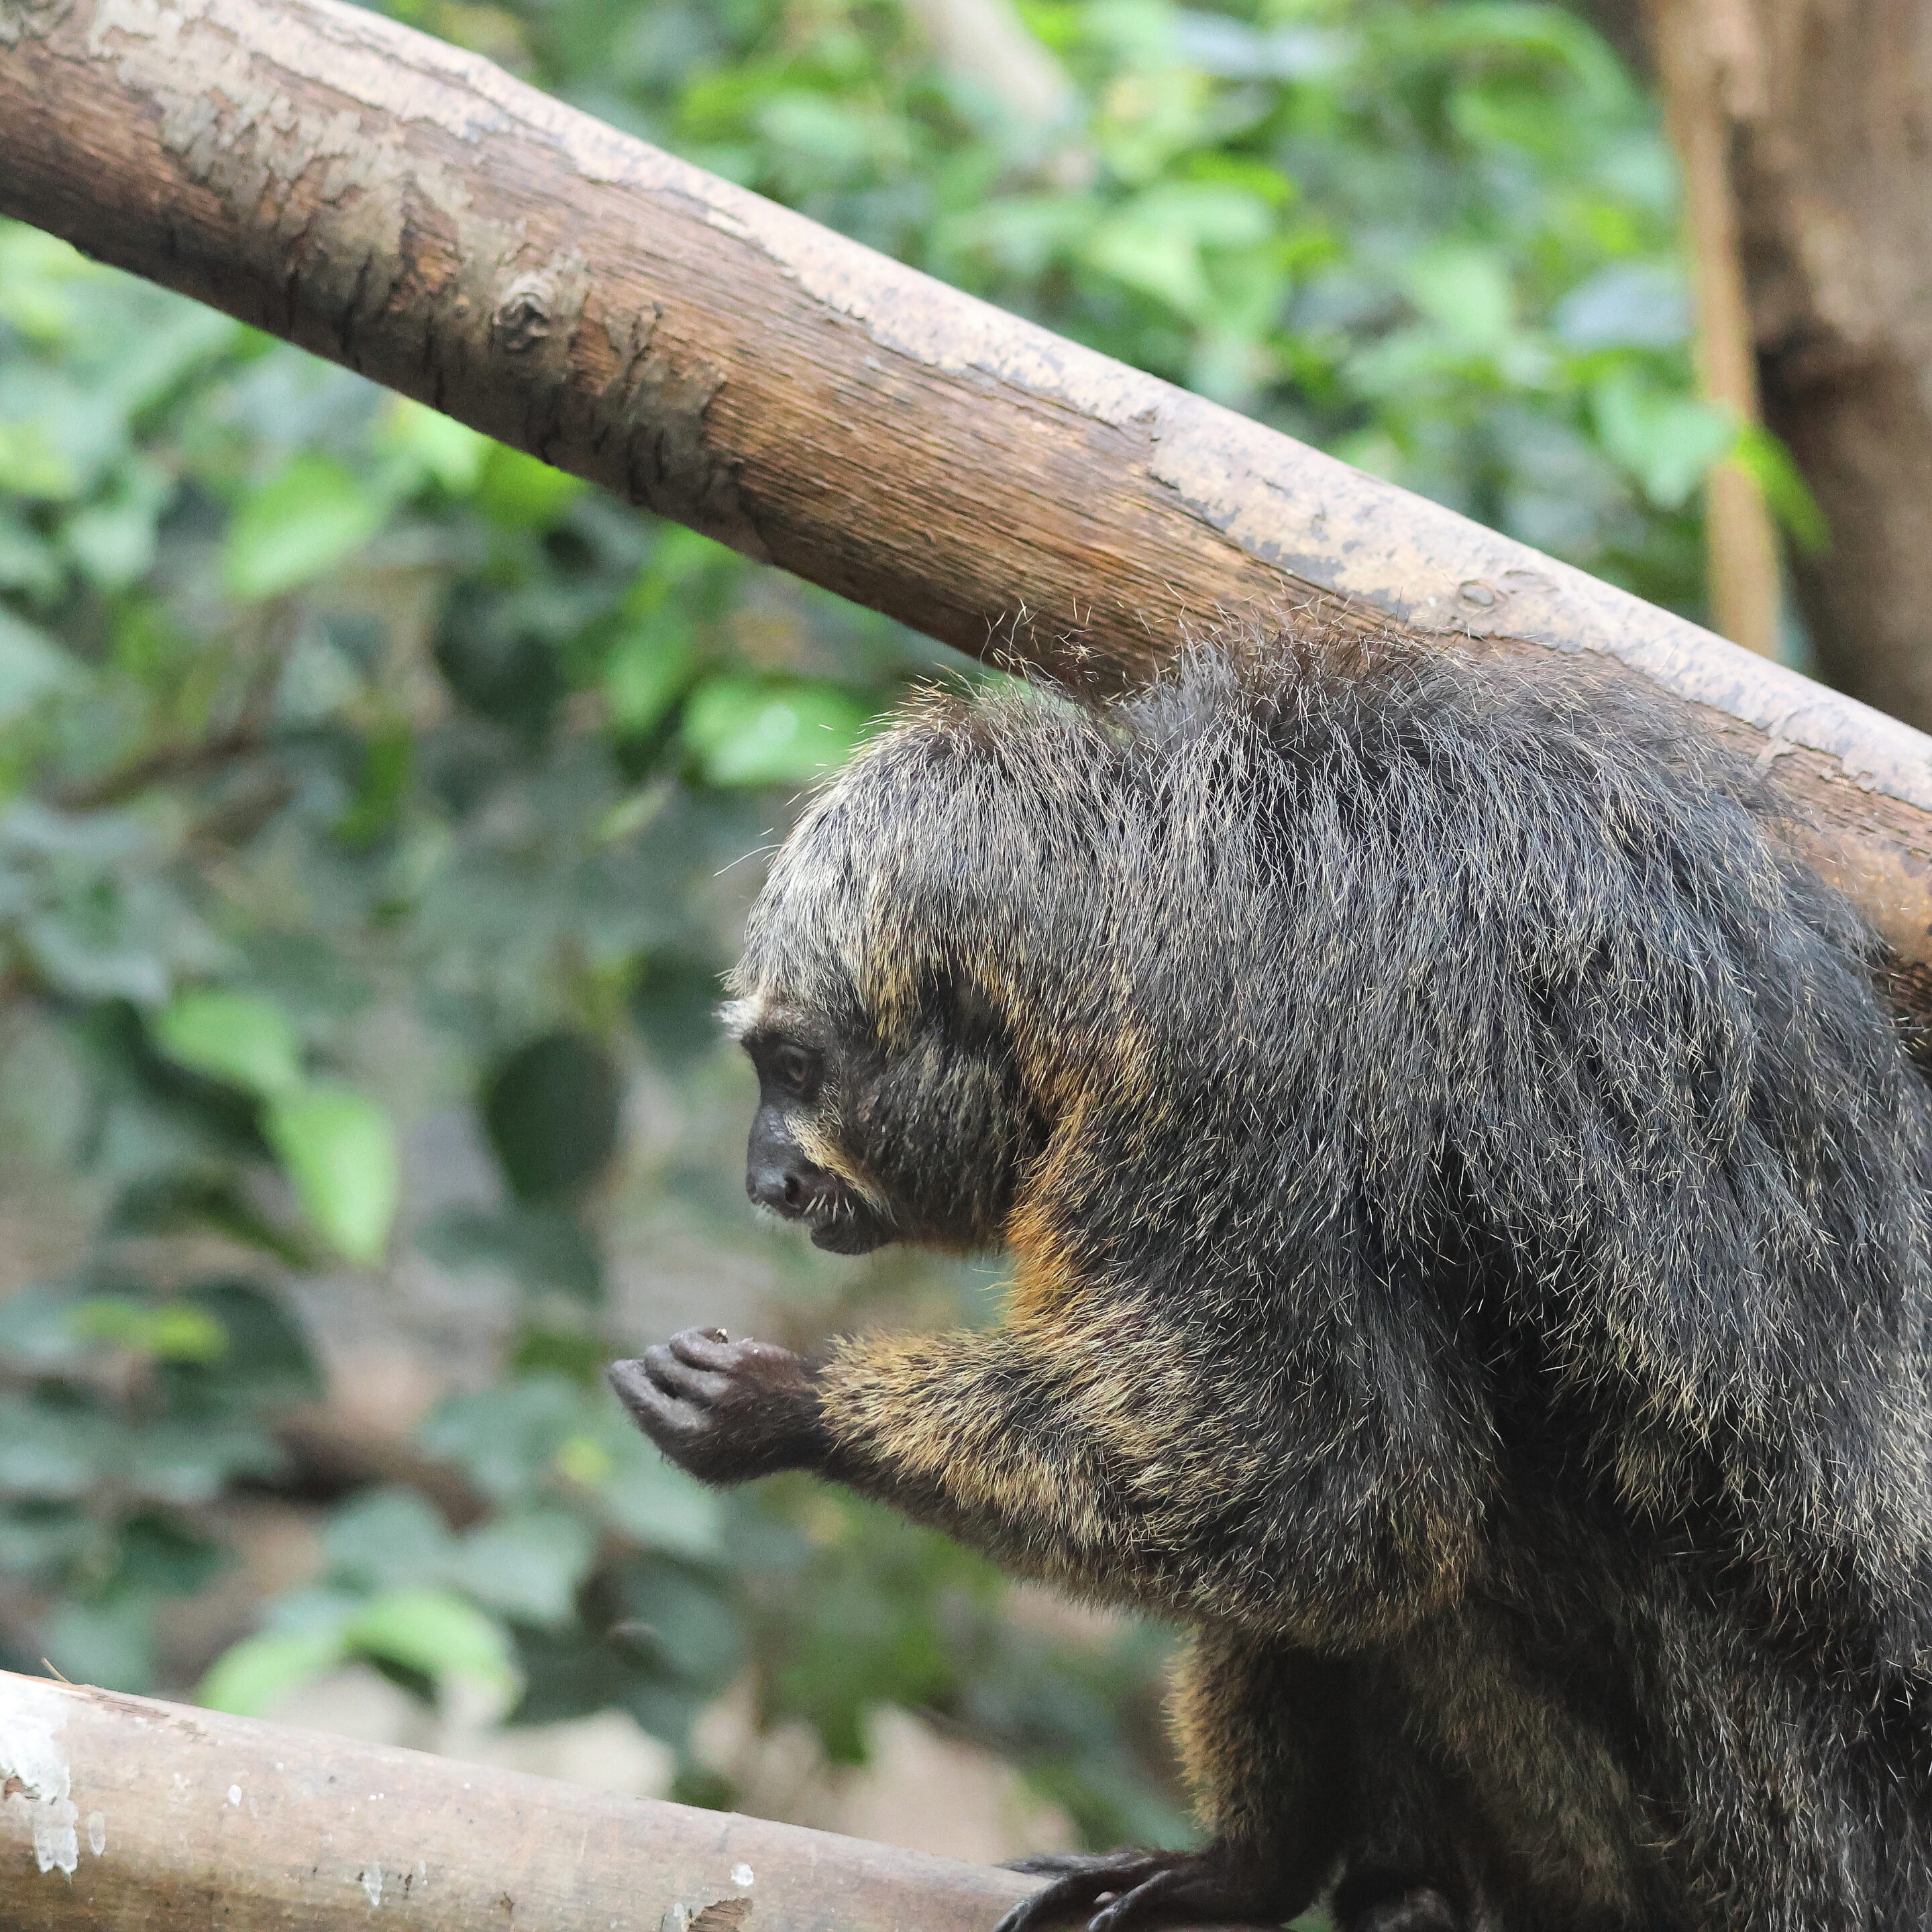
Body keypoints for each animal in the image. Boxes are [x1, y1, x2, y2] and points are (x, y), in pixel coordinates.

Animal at [610, 626, 1932, 1932]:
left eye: (793, 1069)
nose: (765, 1176)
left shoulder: (1225, 1078)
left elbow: (1333, 1489)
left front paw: (787, 1408)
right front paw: (1254, 1865)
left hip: (1759, 1835)